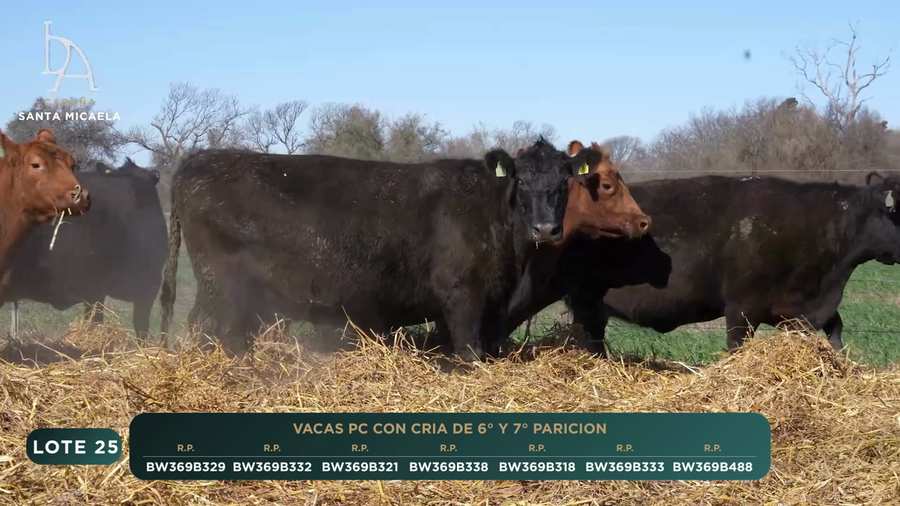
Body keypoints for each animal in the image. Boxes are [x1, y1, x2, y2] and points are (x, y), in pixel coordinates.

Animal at [158, 139, 648, 362]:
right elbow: (468, 352)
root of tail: (199, 159)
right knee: (216, 330)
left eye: (564, 183)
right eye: (521, 181)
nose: (545, 227)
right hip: (225, 286)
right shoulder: (462, 298)